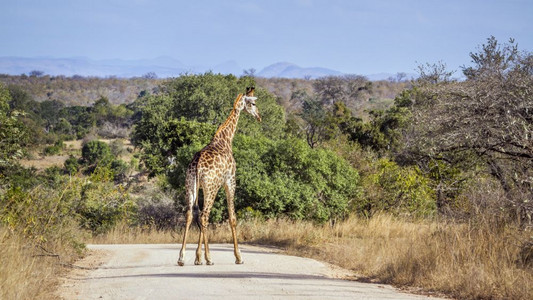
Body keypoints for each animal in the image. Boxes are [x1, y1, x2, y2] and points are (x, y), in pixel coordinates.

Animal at [178, 86, 260, 264]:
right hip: (212, 187)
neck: (226, 139)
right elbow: (232, 217)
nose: (259, 116)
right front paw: (239, 256)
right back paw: (209, 258)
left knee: (190, 214)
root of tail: (197, 165)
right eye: (253, 103)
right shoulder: (230, 181)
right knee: (204, 216)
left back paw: (182, 257)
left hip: (190, 185)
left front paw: (197, 258)